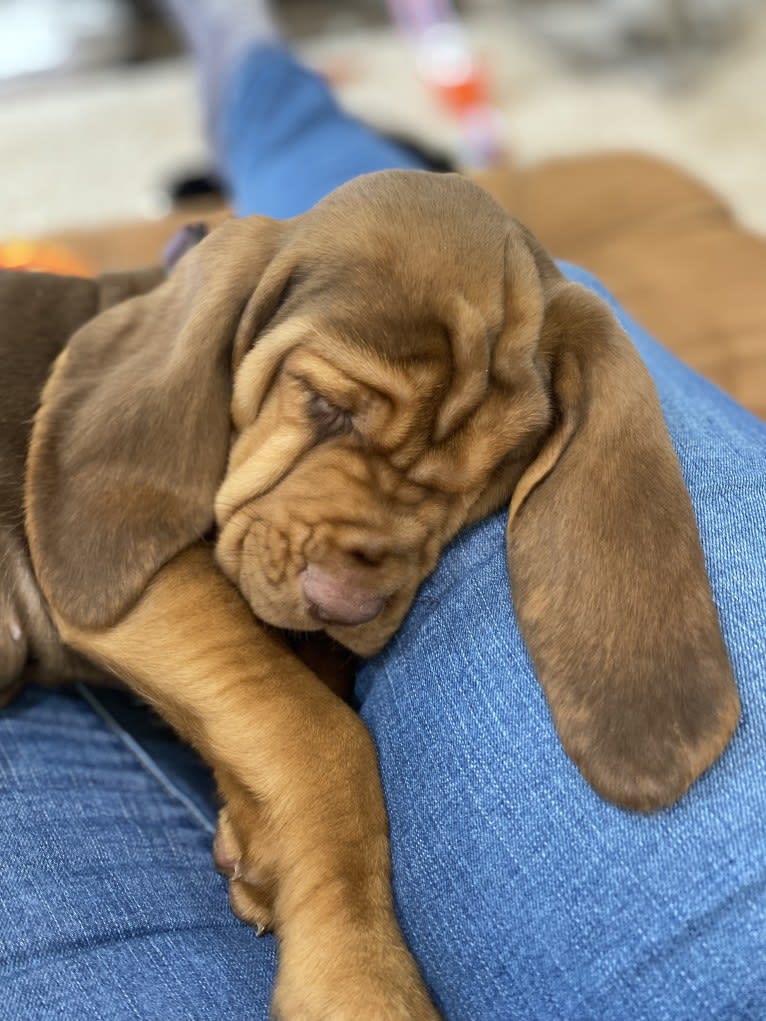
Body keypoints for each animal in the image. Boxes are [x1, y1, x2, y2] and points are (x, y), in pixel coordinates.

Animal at [1, 171, 743, 1016]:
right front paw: (358, 971)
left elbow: (299, 689)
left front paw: (257, 840)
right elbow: (321, 734)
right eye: (324, 402)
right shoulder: (137, 583)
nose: (347, 605)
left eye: (492, 475)